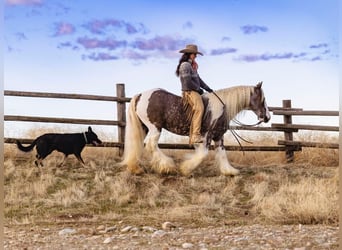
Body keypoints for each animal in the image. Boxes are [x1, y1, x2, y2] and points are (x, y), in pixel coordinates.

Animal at [120, 81, 270, 176]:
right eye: (263, 99)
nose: (267, 117)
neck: (221, 108)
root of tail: (140, 95)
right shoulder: (206, 135)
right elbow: (202, 154)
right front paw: (186, 169)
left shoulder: (218, 136)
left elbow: (222, 153)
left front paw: (229, 171)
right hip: (155, 127)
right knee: (151, 145)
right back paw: (167, 167)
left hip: (144, 128)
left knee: (138, 145)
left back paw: (135, 168)